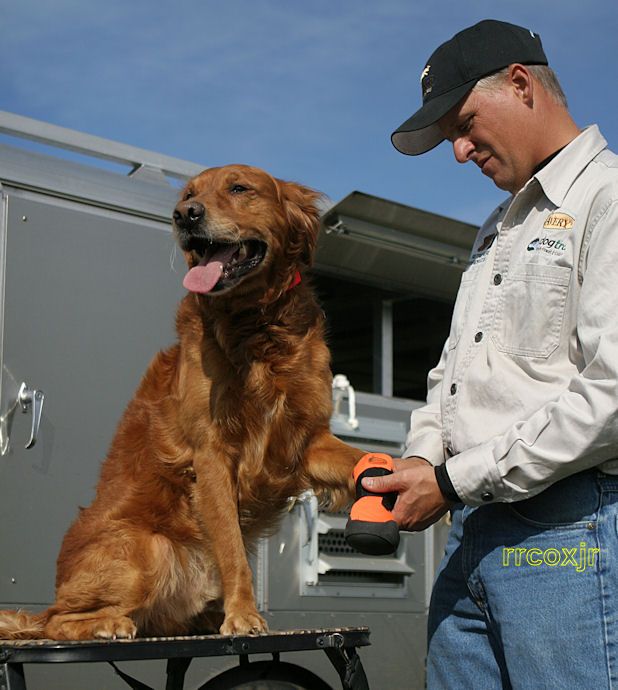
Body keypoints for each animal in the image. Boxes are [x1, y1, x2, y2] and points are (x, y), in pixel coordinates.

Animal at [0, 164, 364, 636]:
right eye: (189, 194)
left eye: (239, 188)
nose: (185, 215)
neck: (258, 325)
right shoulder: (211, 452)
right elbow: (231, 547)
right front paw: (243, 613)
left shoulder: (305, 440)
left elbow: (363, 460)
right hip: (150, 549)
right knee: (55, 621)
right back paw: (107, 624)